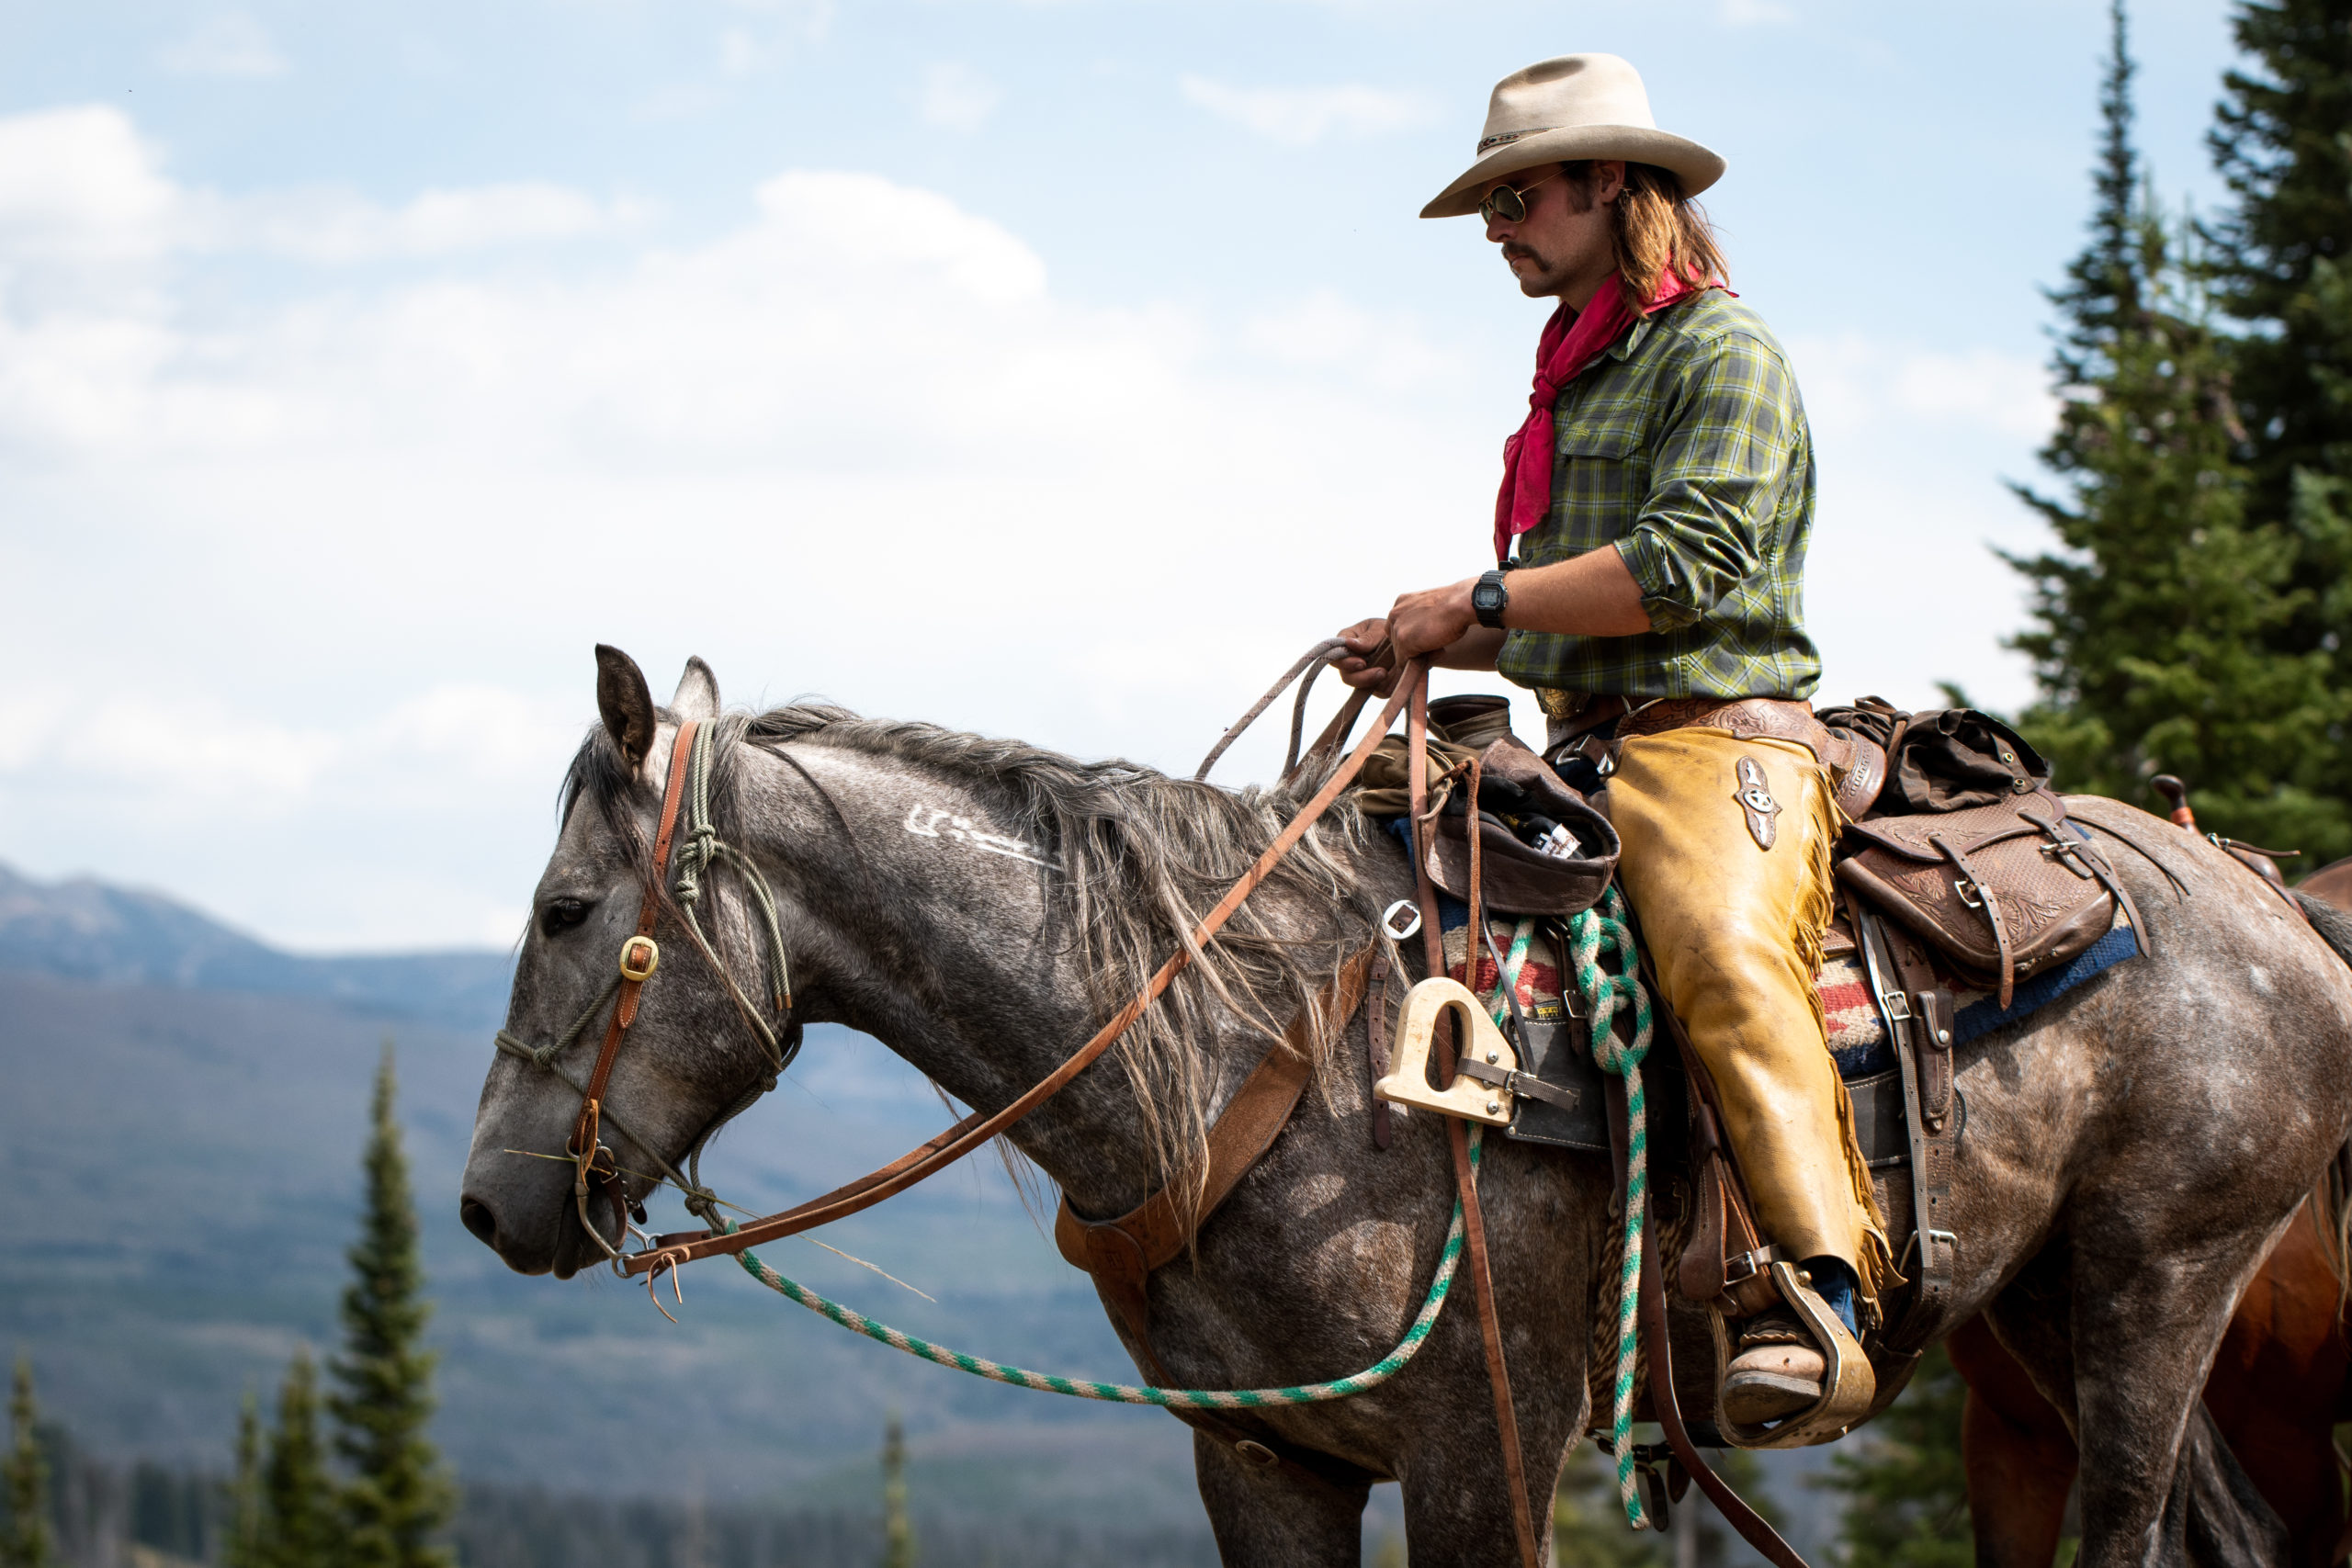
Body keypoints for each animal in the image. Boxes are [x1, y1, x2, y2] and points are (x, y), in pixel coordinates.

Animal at [454, 649, 2352, 1561]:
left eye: (565, 910)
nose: (482, 1200)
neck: (1238, 1047)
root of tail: (2270, 896)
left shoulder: (1479, 1452)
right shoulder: (1265, 1457)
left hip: (2160, 1291)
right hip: (2026, 1336)